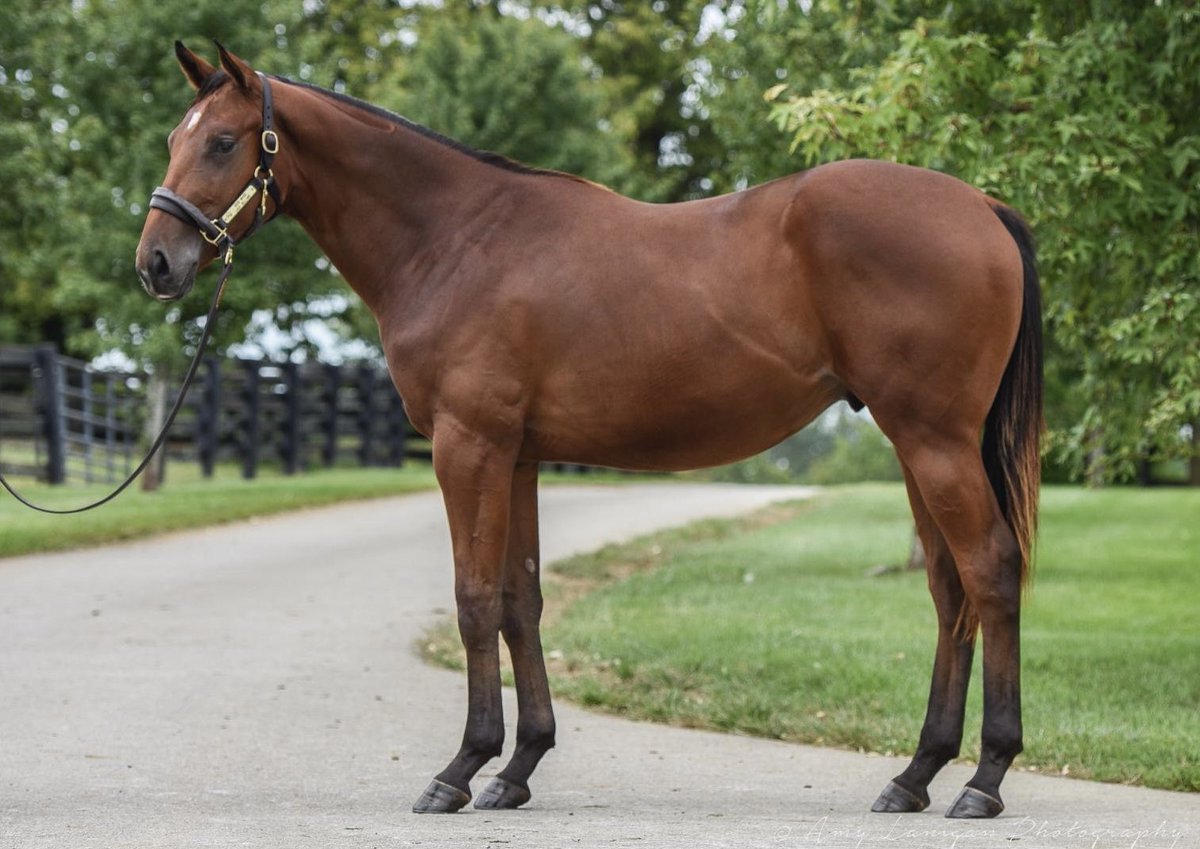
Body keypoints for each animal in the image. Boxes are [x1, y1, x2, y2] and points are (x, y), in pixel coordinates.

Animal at [136, 43, 1042, 819]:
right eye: (175, 138)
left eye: (222, 141)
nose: (156, 262)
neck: (456, 239)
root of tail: (982, 204)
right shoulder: (517, 457)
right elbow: (520, 599)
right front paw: (518, 767)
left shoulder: (467, 446)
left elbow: (473, 599)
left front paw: (460, 768)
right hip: (919, 445)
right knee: (950, 589)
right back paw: (915, 774)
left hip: (934, 439)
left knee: (992, 572)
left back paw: (985, 778)